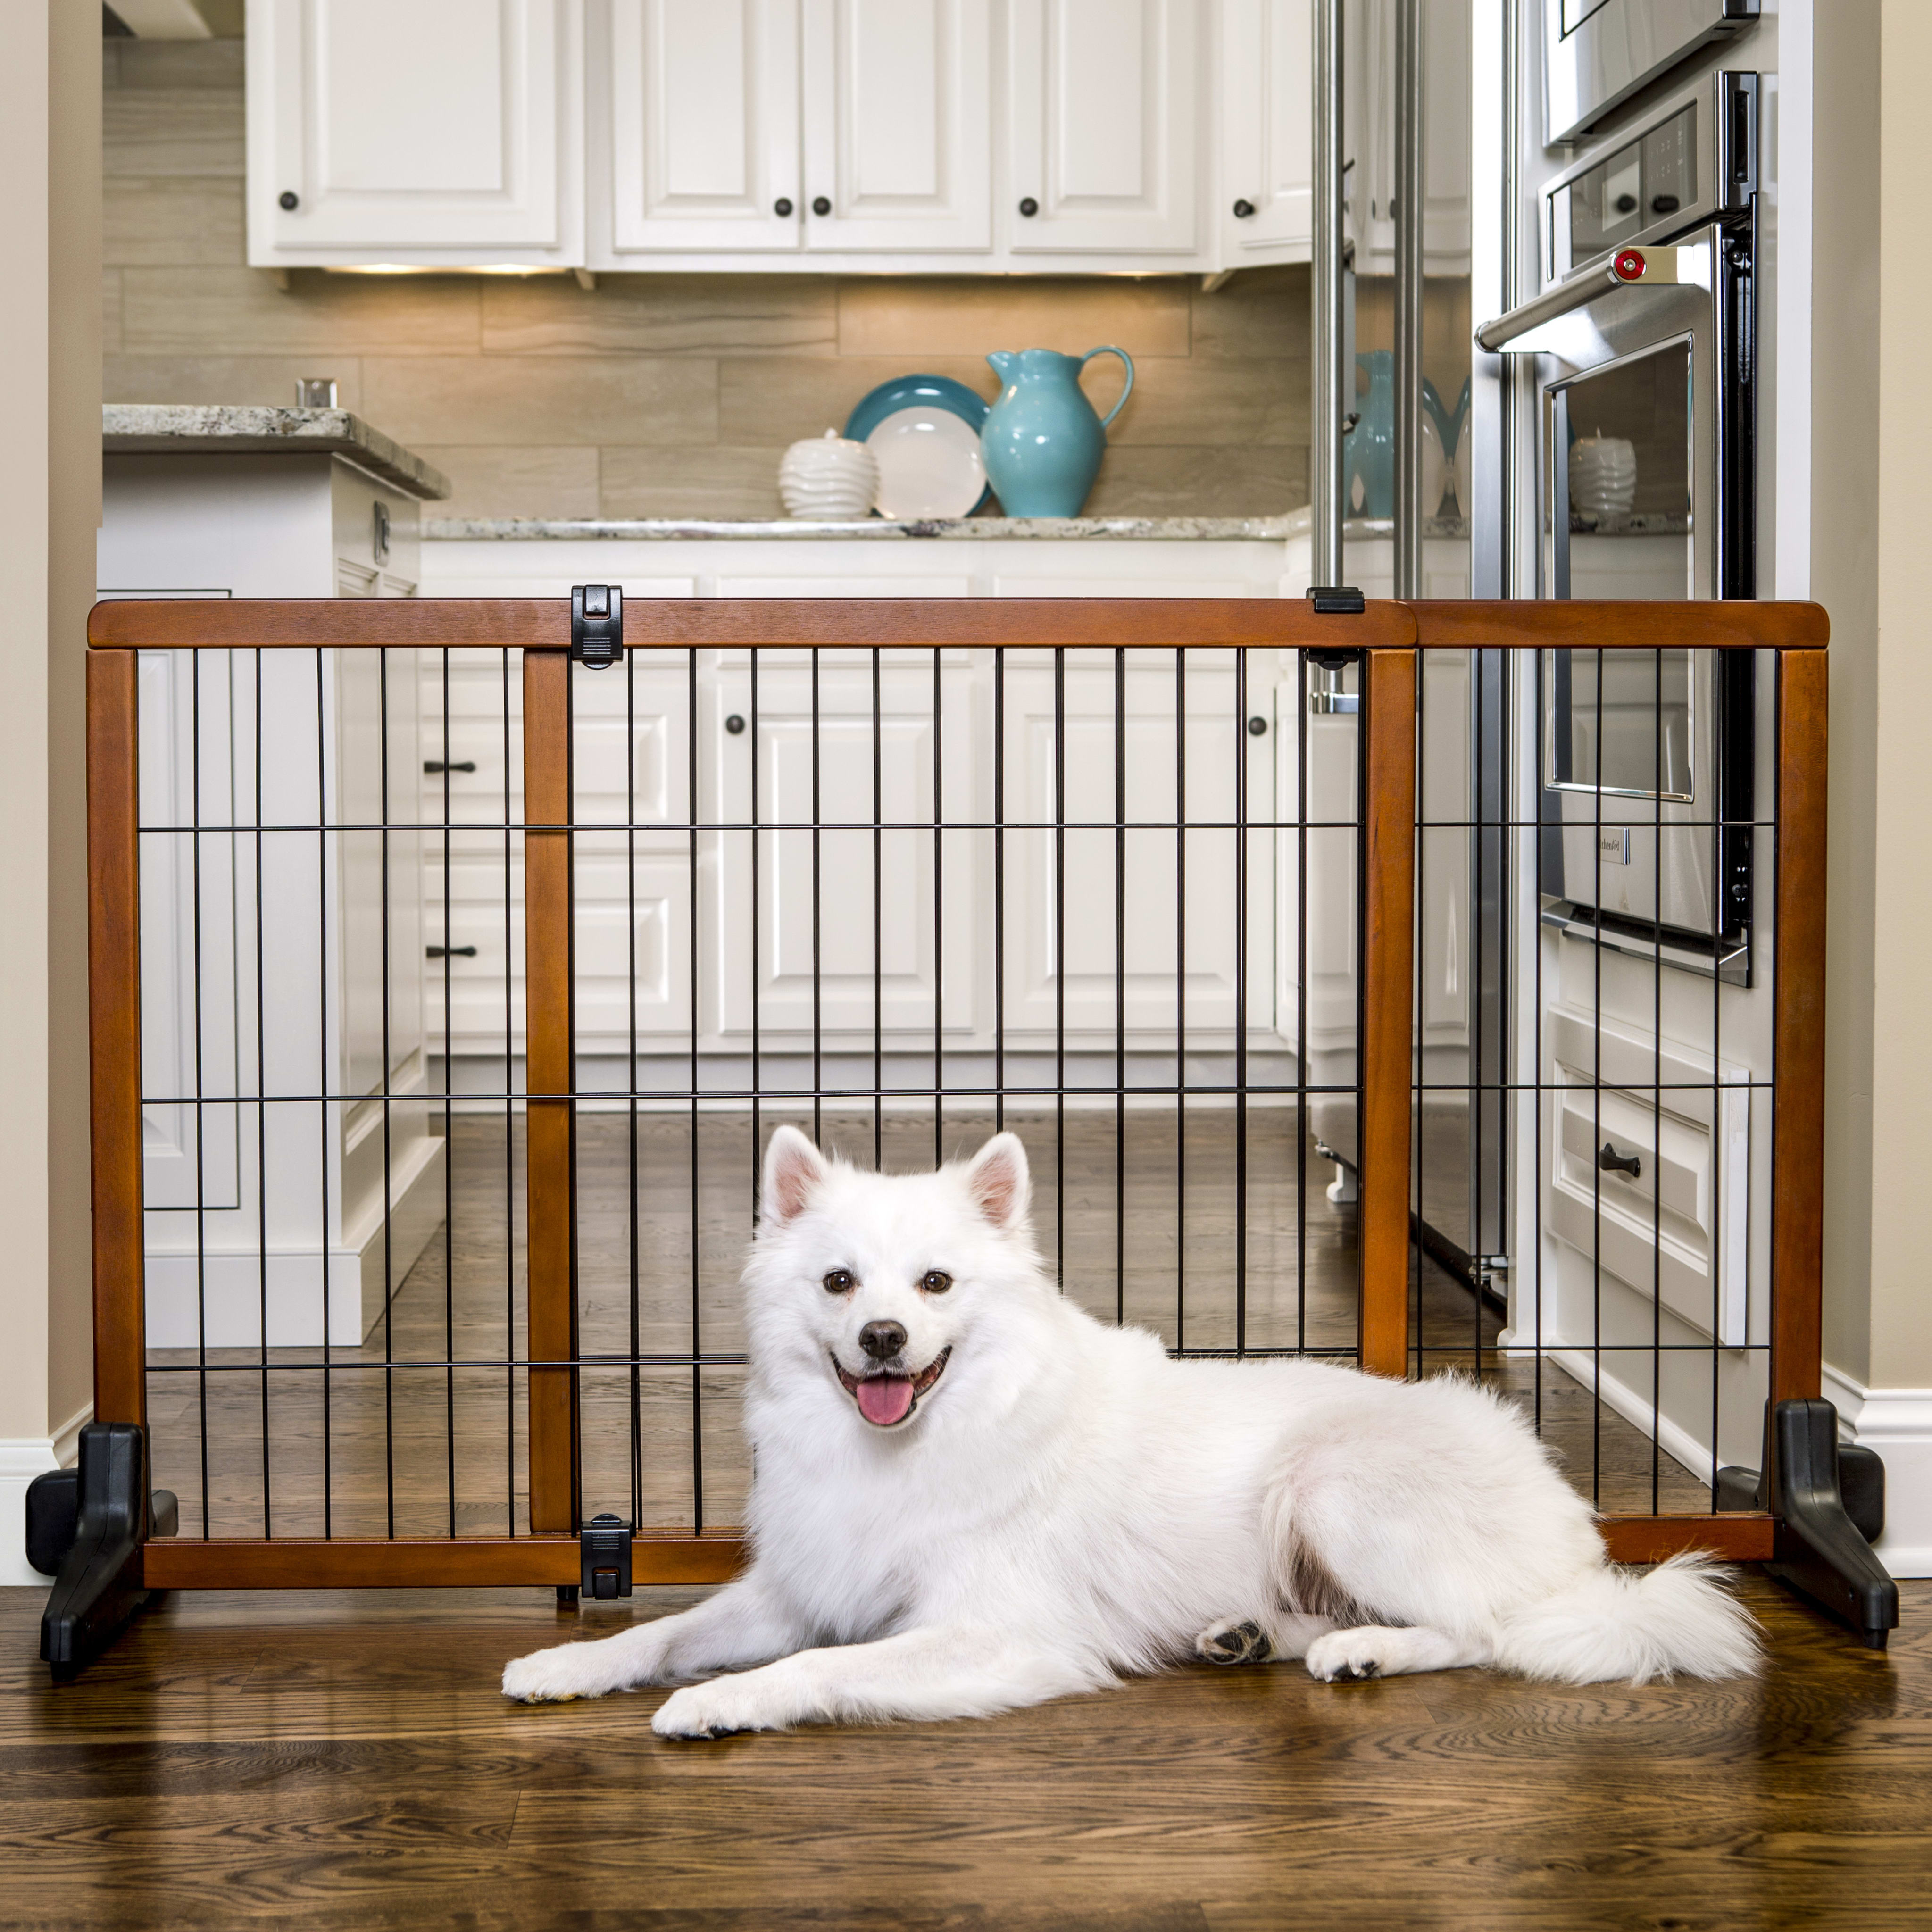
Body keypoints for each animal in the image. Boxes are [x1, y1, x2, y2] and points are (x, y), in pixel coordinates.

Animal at [502, 1128, 1769, 1731]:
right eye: (838, 1282)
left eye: (935, 1282)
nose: (880, 1338)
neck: (919, 1440)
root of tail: (1574, 1527)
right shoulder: (801, 1584)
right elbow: (667, 1630)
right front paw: (569, 1663)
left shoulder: (996, 1633)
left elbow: (815, 1667)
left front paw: (717, 1704)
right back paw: (1244, 1634)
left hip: (1334, 1483)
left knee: (1485, 1629)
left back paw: (1362, 1649)